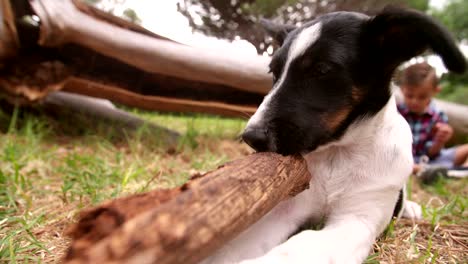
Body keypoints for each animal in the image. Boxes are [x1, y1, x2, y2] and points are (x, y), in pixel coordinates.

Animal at [200, 6, 464, 264]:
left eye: (321, 70)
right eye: (273, 72)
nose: (251, 137)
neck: (336, 156)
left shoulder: (357, 220)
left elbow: (301, 245)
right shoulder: (285, 209)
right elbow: (233, 248)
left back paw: (411, 208)